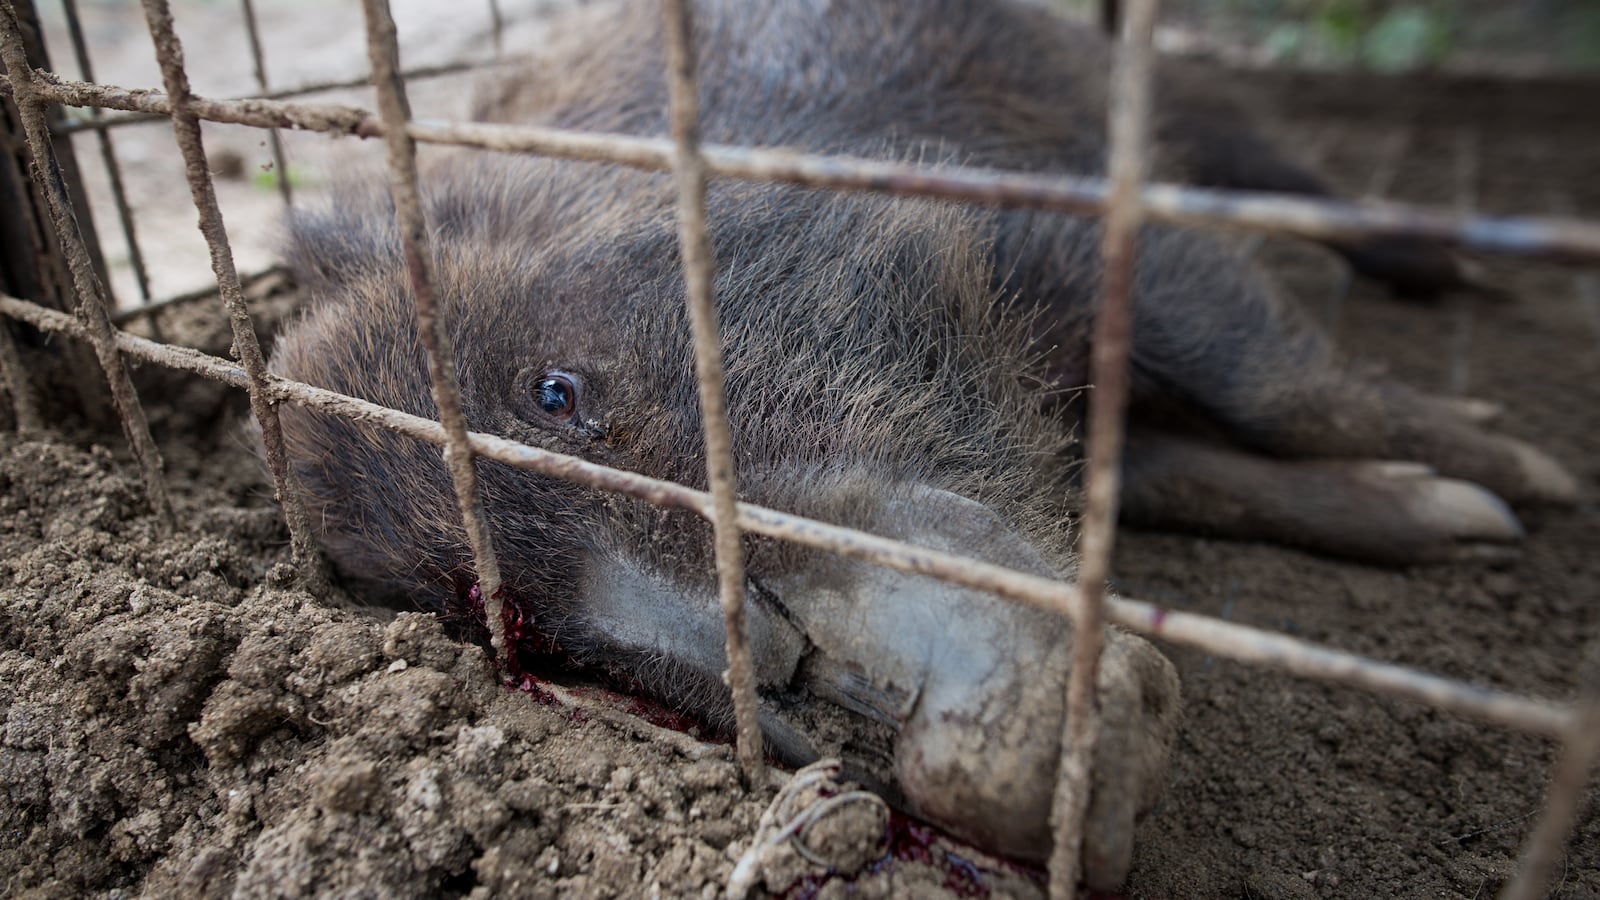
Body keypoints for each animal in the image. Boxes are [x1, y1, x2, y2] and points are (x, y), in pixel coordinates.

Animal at [266, 0, 1579, 889]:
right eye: (523, 627)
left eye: (553, 390)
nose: (967, 773)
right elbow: (1186, 473)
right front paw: (1461, 517)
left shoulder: (1065, 226)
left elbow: (1275, 382)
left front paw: (1522, 489)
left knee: (1283, 180)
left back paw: (1468, 281)